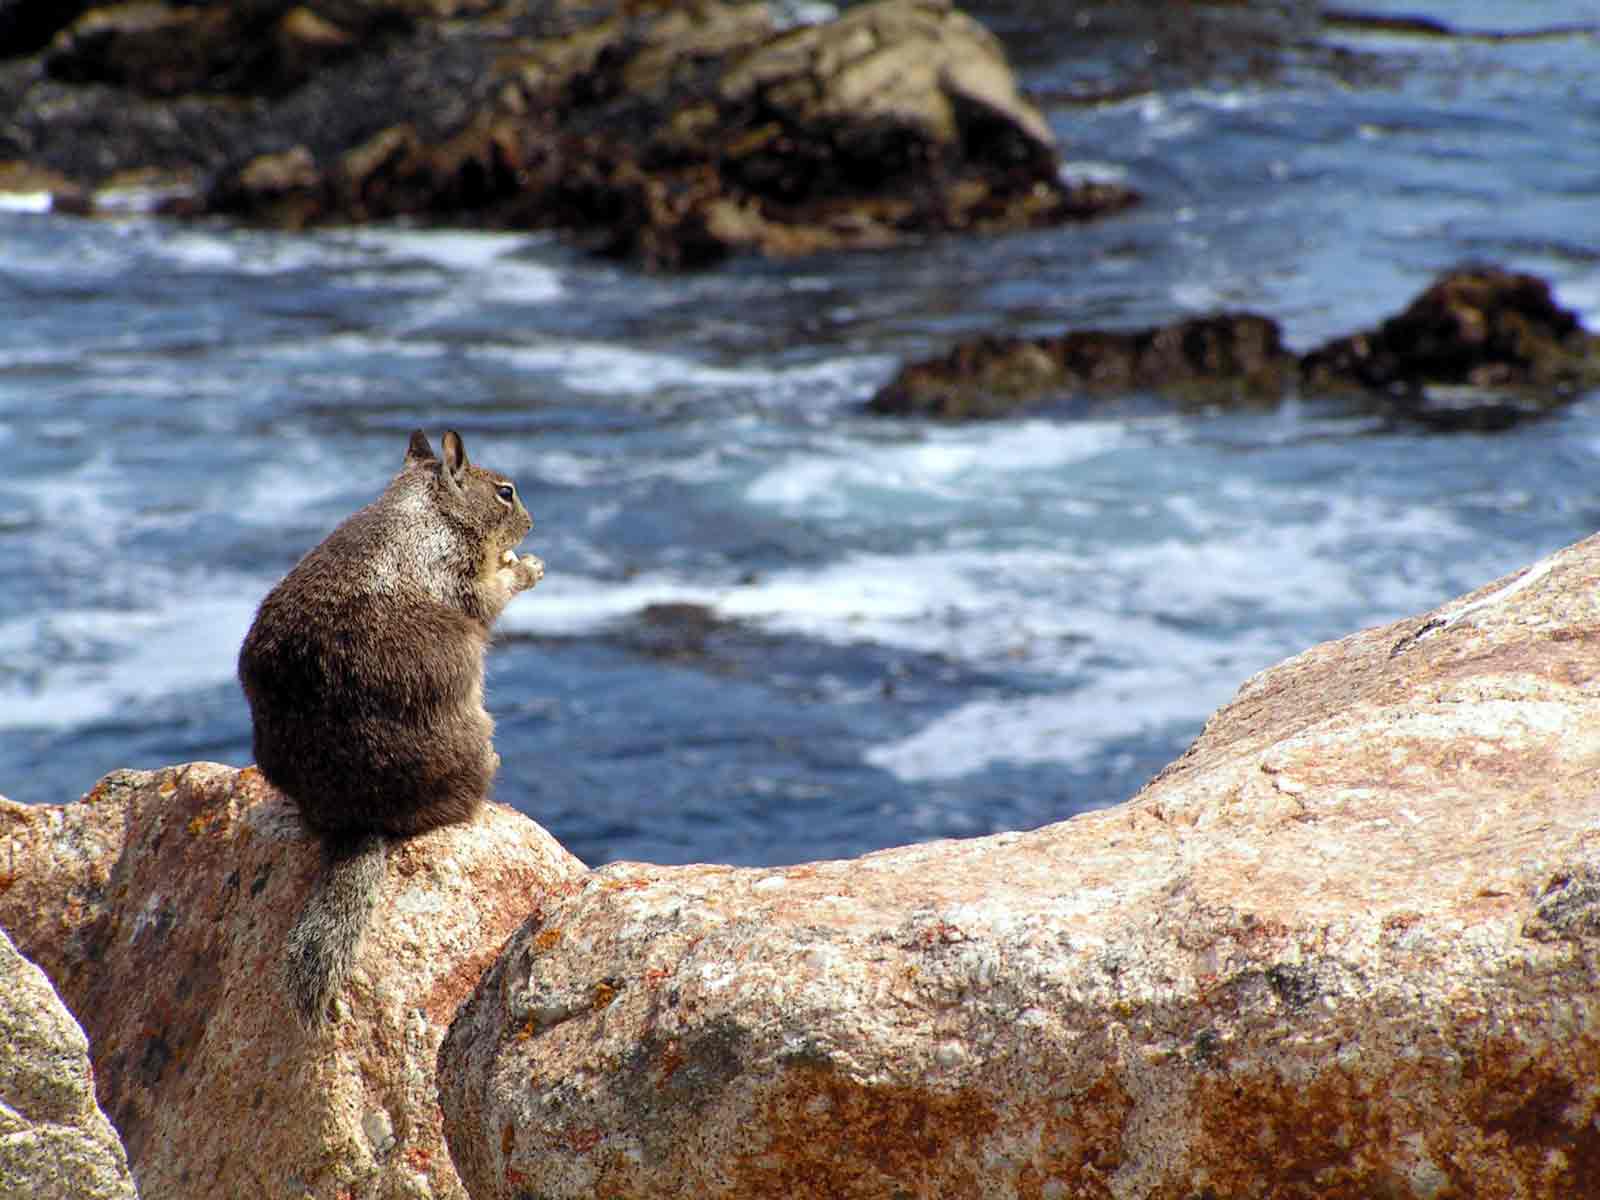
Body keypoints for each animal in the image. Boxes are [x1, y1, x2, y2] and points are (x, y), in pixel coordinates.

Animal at [233, 428, 540, 1030]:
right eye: (506, 492)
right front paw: (526, 566)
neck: (425, 505)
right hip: (472, 734)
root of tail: (359, 818)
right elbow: (488, 596)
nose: (532, 522)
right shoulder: (458, 571)